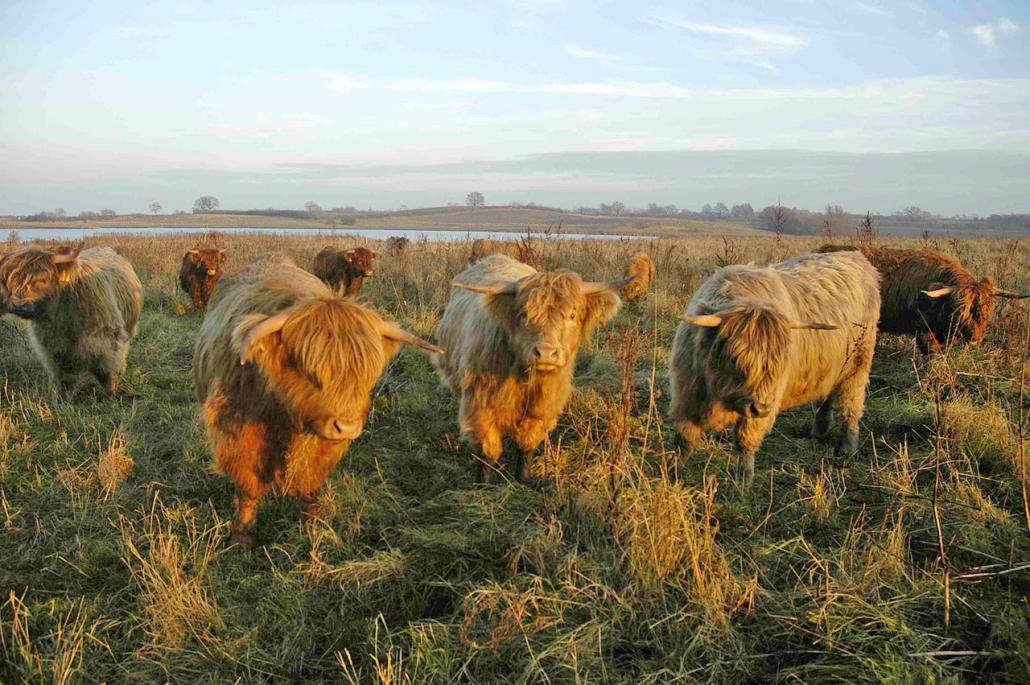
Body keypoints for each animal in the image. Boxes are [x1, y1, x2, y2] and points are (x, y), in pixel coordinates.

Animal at [0, 244, 143, 395]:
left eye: (42, 280)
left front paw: (110, 392)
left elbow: (106, 371)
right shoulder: (53, 347)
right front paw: (66, 395)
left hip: (128, 329)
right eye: (10, 282)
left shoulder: (107, 338)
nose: (18, 305)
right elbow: (66, 375)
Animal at [194, 253, 440, 543]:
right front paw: (241, 536)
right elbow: (248, 486)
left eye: (366, 374)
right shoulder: (238, 430)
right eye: (309, 370)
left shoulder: (322, 441)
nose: (347, 427)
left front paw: (311, 529)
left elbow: (311, 483)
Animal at [432, 253, 630, 484]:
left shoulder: (543, 406)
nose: (545, 352)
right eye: (525, 314)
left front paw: (524, 478)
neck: (524, 376)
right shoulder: (480, 405)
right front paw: (483, 484)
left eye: (572, 315)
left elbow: (527, 443)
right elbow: (488, 450)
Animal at [671, 251, 881, 486]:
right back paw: (818, 431)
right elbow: (685, 439)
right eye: (734, 358)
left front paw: (743, 482)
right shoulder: (687, 393)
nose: (761, 409)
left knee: (851, 405)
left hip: (857, 366)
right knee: (827, 397)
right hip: (831, 369)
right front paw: (675, 472)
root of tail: (855, 256)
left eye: (779, 363)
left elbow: (745, 441)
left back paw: (847, 447)